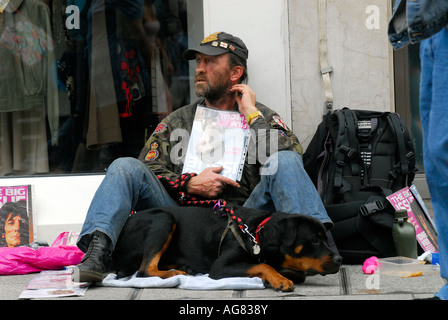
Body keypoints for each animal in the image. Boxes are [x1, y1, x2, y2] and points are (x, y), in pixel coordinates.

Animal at [113, 206, 344, 292]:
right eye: (315, 241)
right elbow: (263, 266)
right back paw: (173, 273)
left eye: (324, 239)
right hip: (164, 218)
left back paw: (184, 267)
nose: (340, 259)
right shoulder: (221, 266)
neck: (257, 235)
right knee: (144, 269)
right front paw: (279, 279)